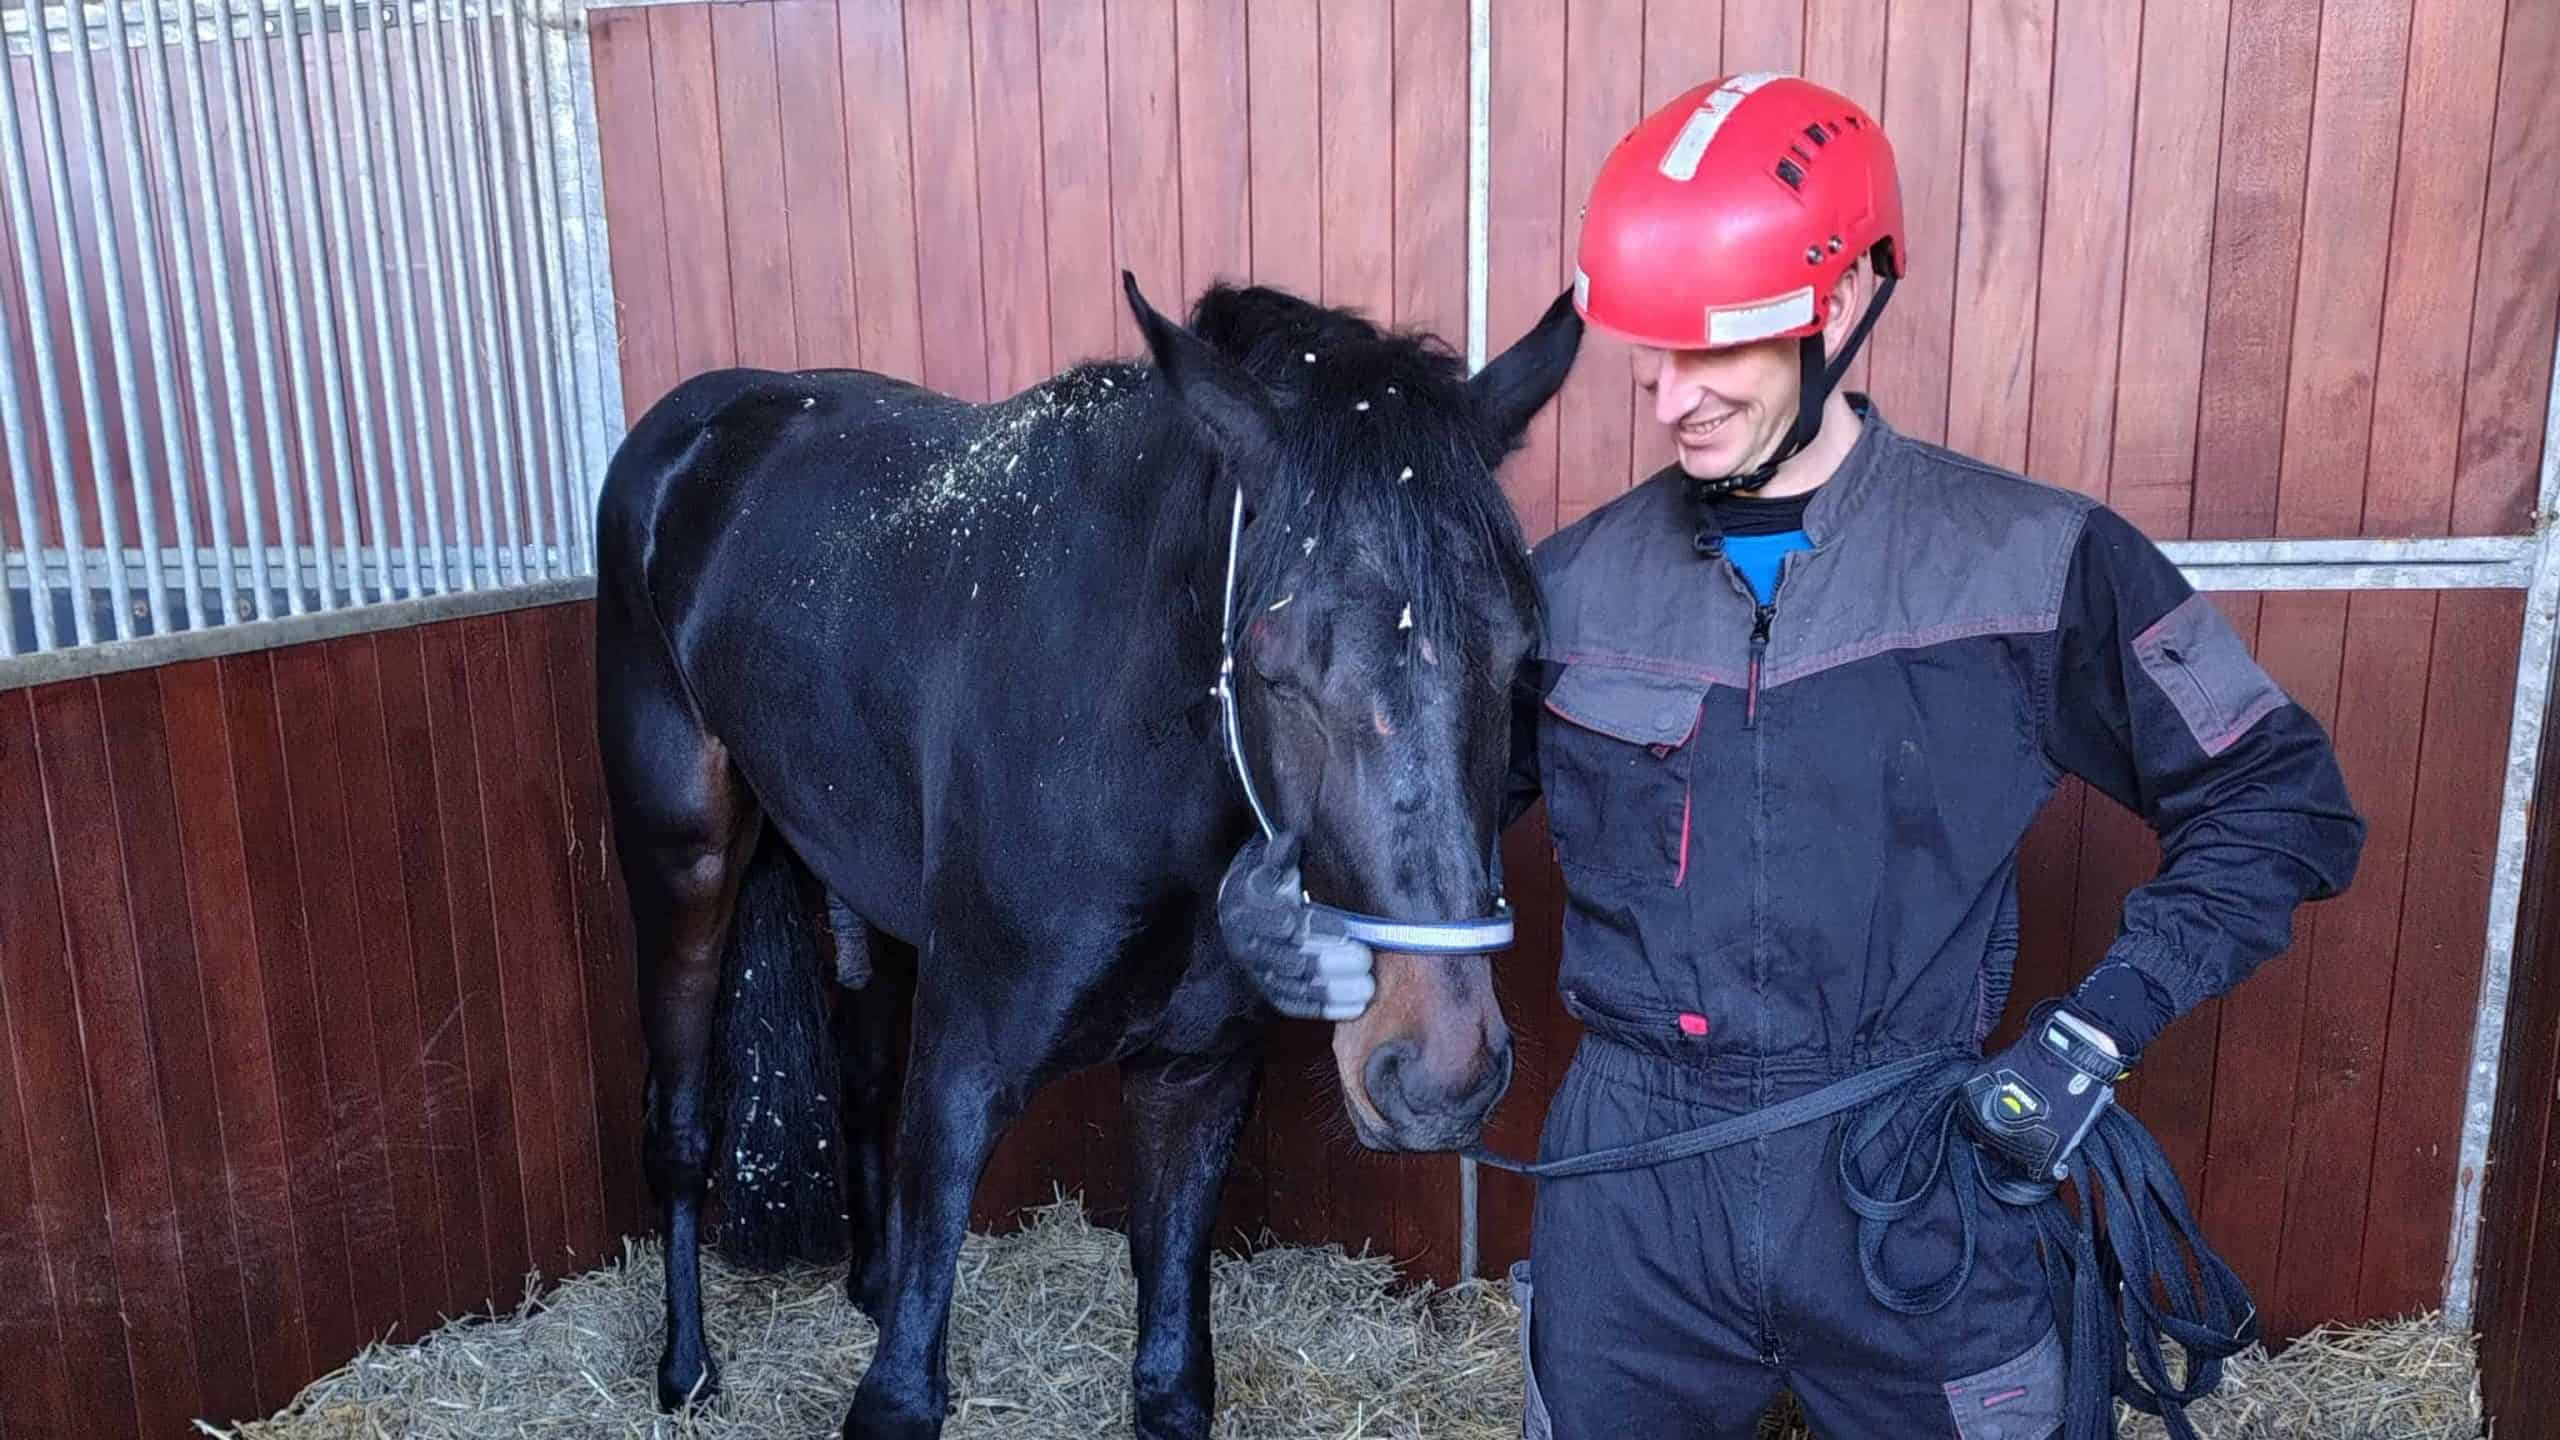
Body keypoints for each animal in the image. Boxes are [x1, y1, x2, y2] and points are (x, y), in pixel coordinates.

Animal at [594, 272, 1582, 1439]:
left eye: (1520, 656)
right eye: (1272, 664)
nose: (1441, 1073)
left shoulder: (1193, 1077)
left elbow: (1169, 1379)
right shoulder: (962, 1075)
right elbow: (900, 1393)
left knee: (861, 1082)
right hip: (683, 862)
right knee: (681, 1124)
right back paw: (685, 1369)